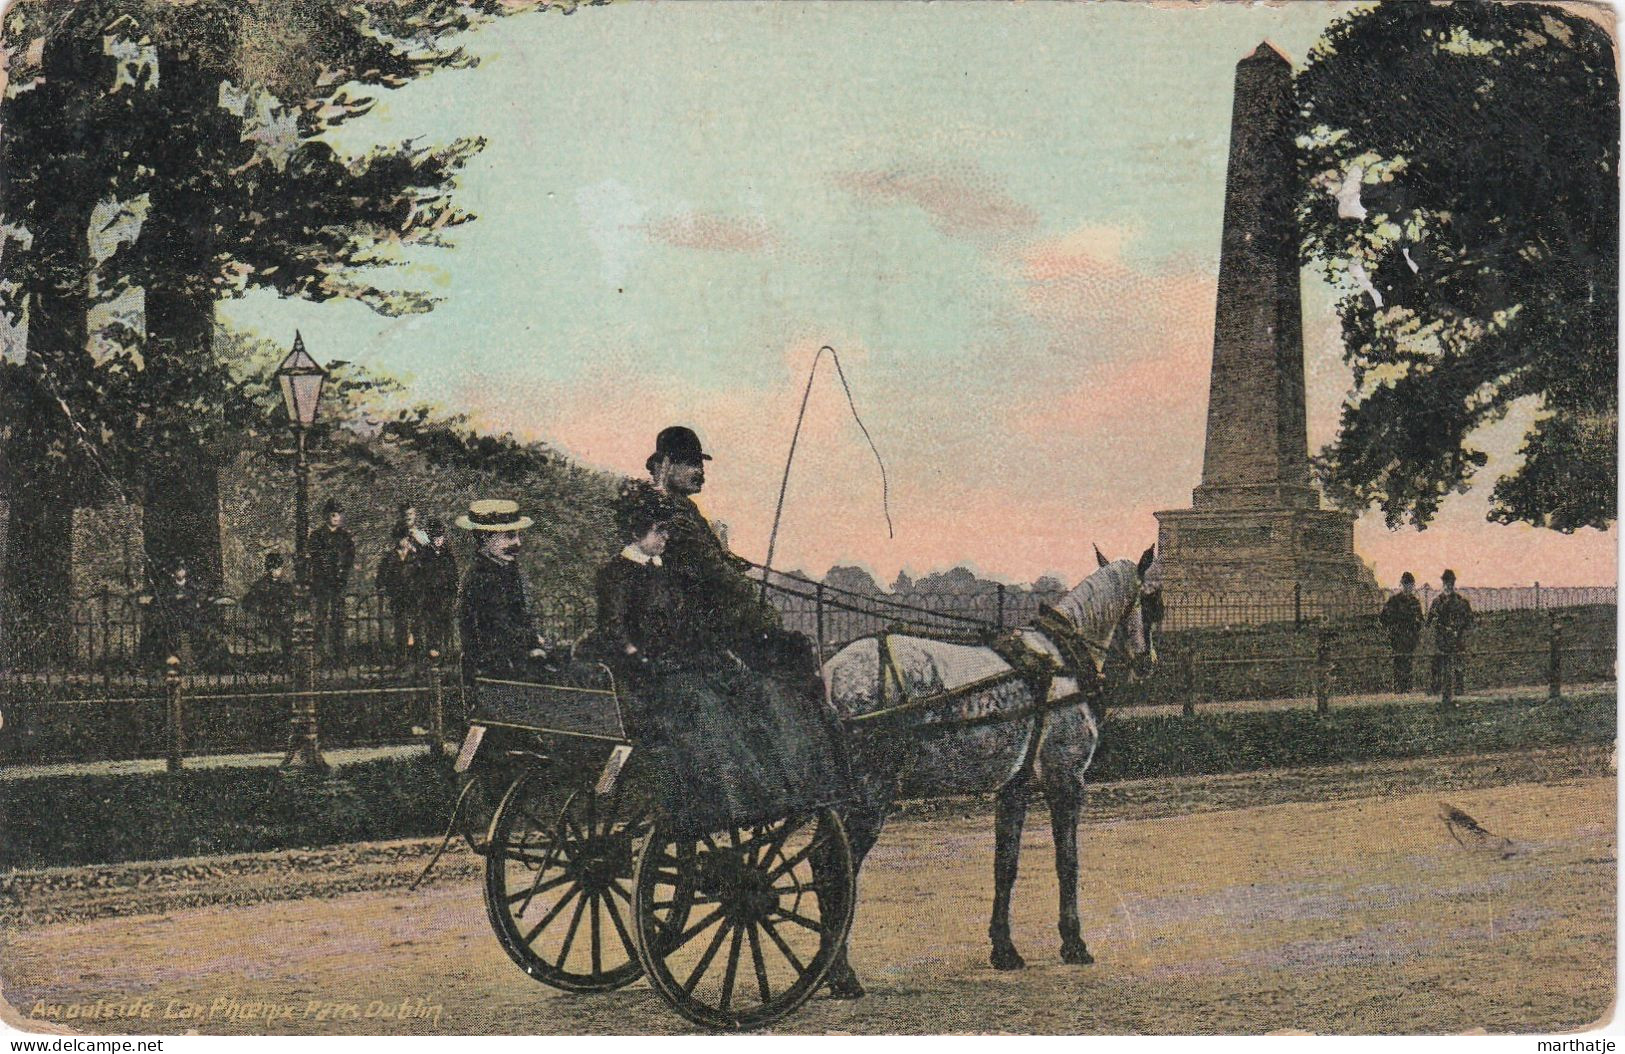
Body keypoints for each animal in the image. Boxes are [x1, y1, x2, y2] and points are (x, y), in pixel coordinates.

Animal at [819, 545, 1163, 993]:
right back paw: (841, 974)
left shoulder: (1014, 787)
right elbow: (1067, 862)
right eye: (1152, 603)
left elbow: (1006, 865)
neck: (1061, 659)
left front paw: (1004, 949)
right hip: (870, 797)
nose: (1148, 662)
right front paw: (1074, 943)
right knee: (836, 870)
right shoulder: (1066, 779)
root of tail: (830, 676)